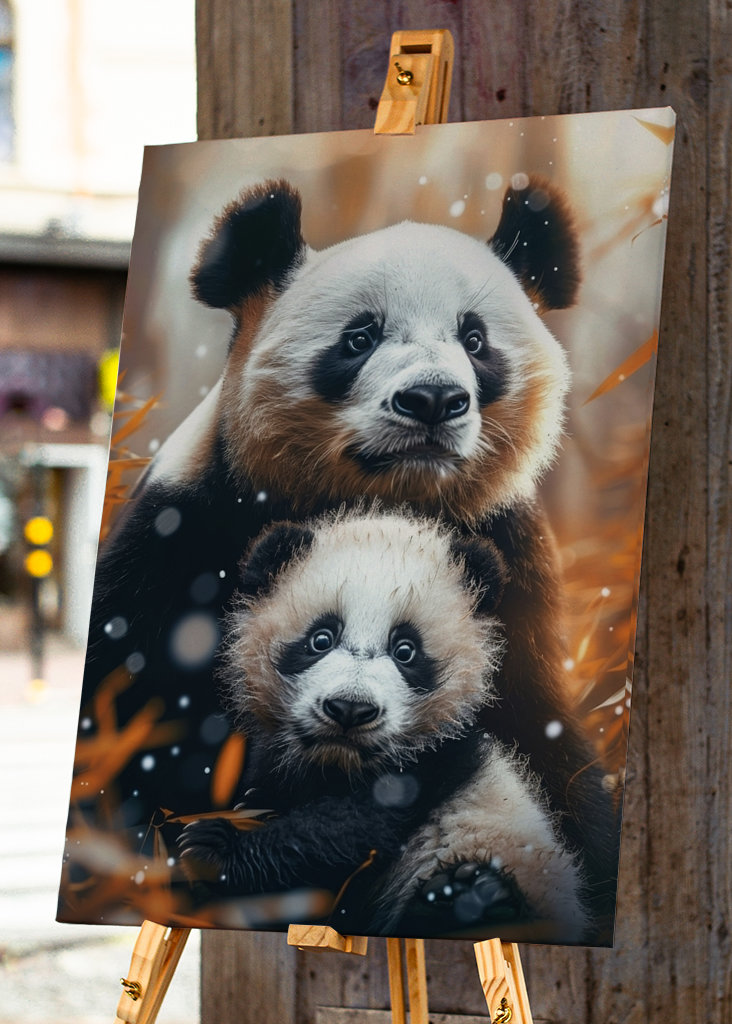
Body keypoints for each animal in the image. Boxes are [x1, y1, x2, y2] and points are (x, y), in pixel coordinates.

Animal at [178, 508, 588, 943]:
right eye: (321, 638)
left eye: (405, 650)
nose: (349, 709)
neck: (339, 764)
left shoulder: (436, 763)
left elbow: (348, 831)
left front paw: (212, 849)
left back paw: (465, 899)